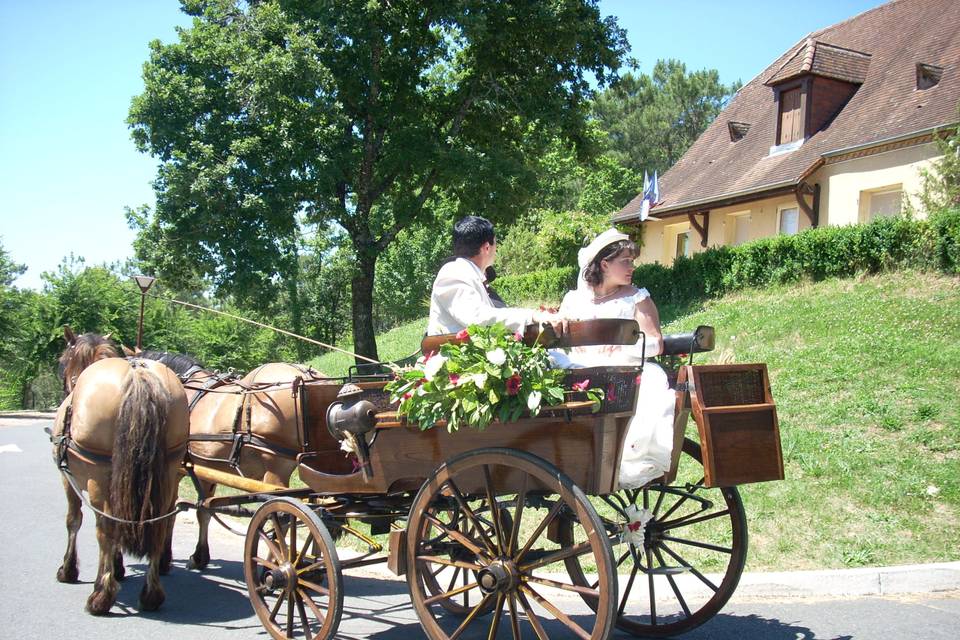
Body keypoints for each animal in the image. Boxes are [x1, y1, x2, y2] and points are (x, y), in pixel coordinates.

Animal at [53, 330, 189, 616]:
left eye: (63, 359)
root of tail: (138, 374)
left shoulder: (68, 478)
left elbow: (73, 520)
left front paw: (69, 570)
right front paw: (119, 569)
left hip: (98, 476)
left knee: (106, 526)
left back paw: (100, 596)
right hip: (167, 472)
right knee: (159, 523)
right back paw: (151, 594)